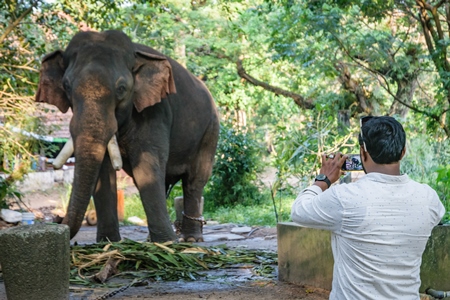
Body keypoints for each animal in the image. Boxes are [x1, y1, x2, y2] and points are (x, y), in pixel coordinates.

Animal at [35, 29, 220, 243]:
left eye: (121, 88)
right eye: (66, 86)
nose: (56, 220)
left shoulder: (155, 111)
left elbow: (146, 165)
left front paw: (167, 242)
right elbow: (104, 169)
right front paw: (108, 242)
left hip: (210, 131)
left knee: (194, 181)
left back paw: (190, 239)